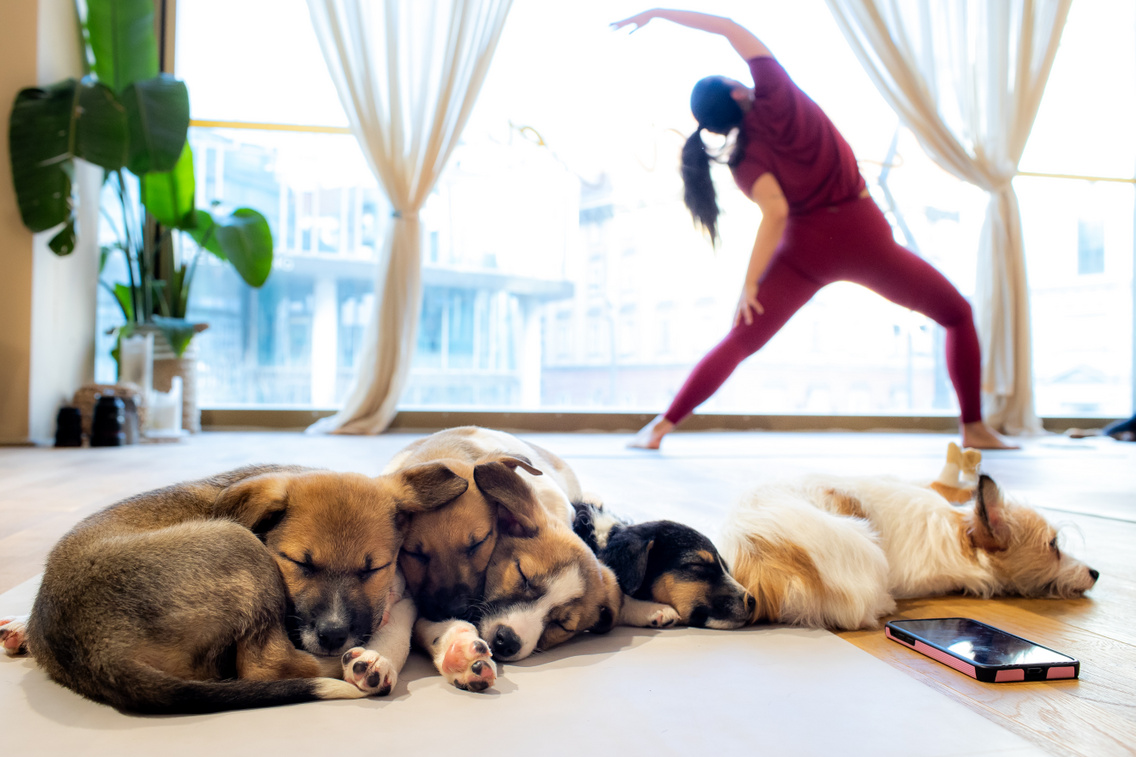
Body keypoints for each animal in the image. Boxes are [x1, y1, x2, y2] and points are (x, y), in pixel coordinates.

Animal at [0, 459, 465, 713]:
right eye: (300, 563)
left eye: (373, 569)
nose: (334, 636)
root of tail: (96, 652)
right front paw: (376, 651)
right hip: (240, 547)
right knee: (269, 666)